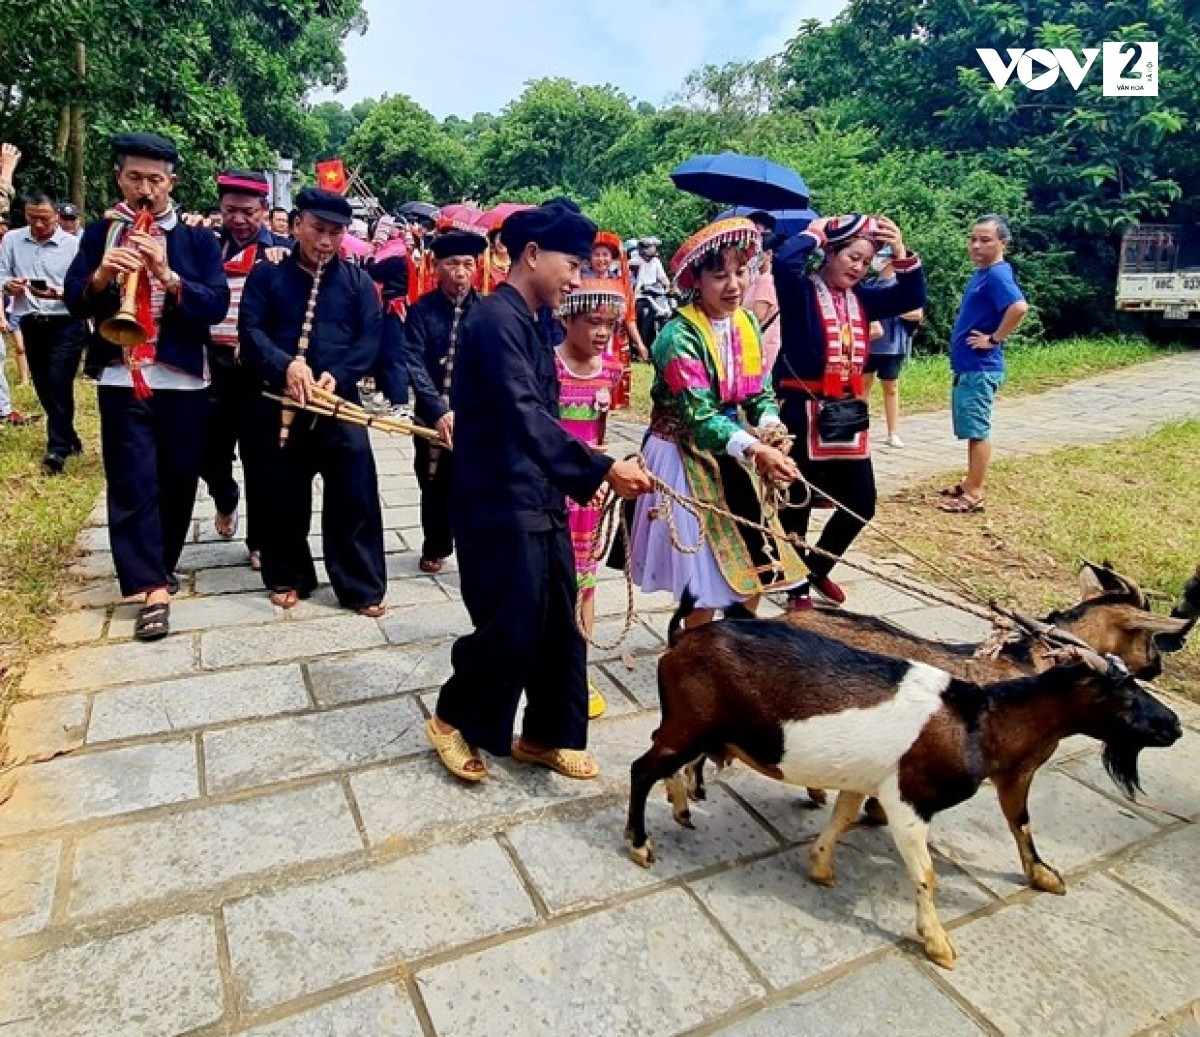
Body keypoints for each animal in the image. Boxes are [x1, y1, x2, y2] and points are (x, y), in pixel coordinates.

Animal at [628, 602, 1180, 969]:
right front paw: (938, 943)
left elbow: (844, 818)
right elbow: (926, 873)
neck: (982, 719)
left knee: (666, 761)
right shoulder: (910, 801)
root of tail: (680, 641)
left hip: (694, 728)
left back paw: (681, 808)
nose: (1173, 725)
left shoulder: (865, 780)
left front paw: (821, 867)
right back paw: (640, 844)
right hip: (690, 725)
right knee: (641, 768)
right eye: (1123, 698)